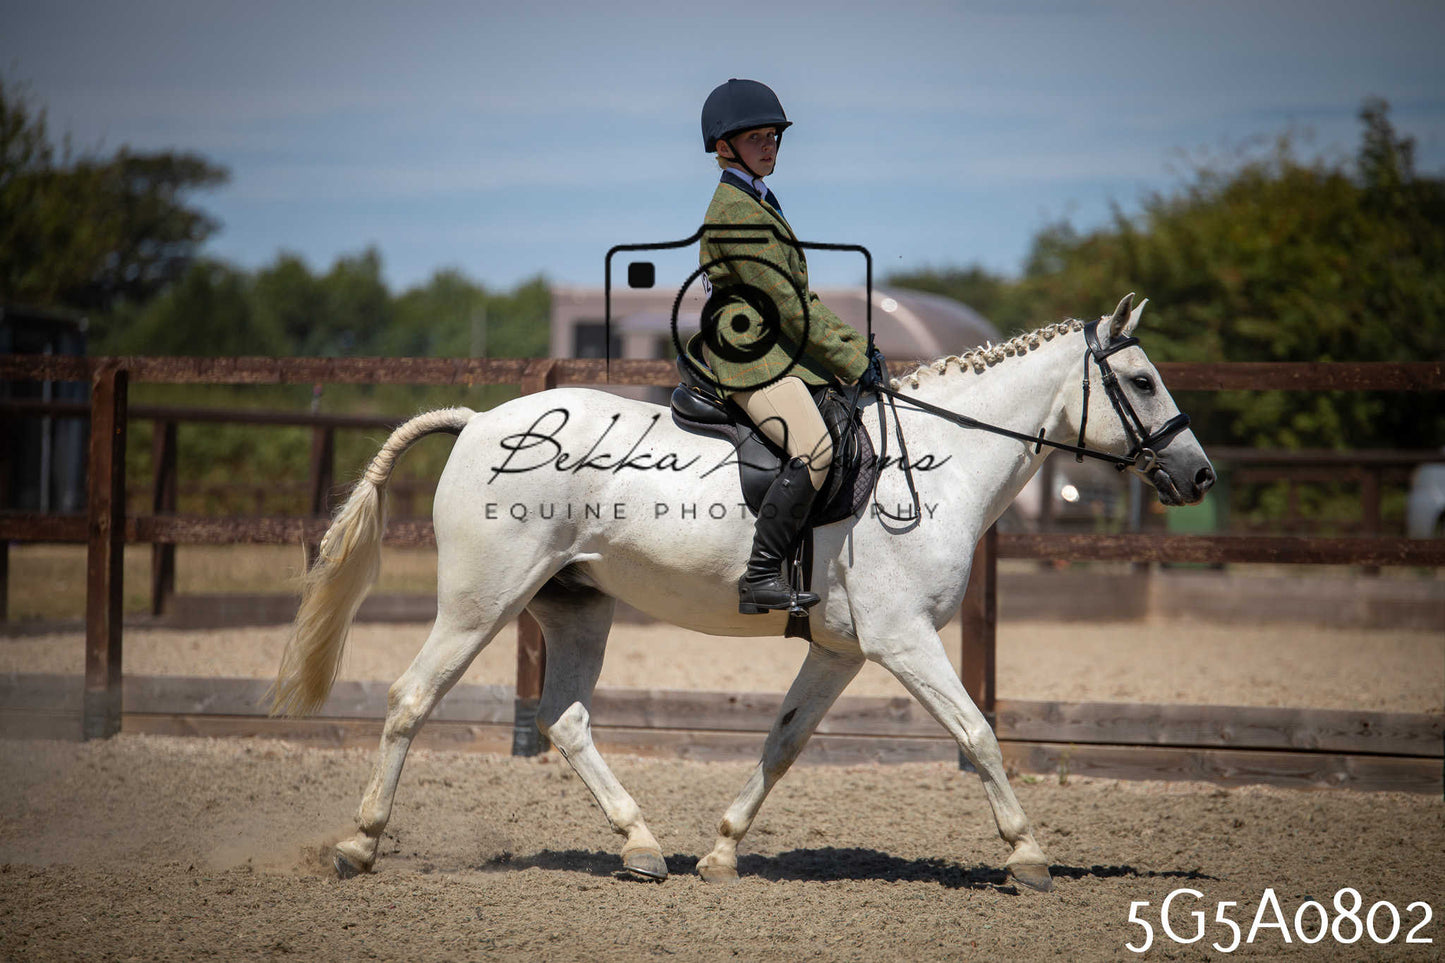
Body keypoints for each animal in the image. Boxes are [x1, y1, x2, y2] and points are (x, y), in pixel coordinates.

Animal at [272, 293, 1215, 892]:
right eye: (1140, 382)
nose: (1197, 473)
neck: (935, 464)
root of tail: (477, 423)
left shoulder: (841, 651)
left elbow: (783, 743)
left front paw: (721, 855)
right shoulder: (903, 639)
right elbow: (979, 733)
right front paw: (1027, 857)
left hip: (576, 606)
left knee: (564, 718)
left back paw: (641, 845)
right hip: (481, 604)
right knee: (411, 697)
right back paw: (357, 845)